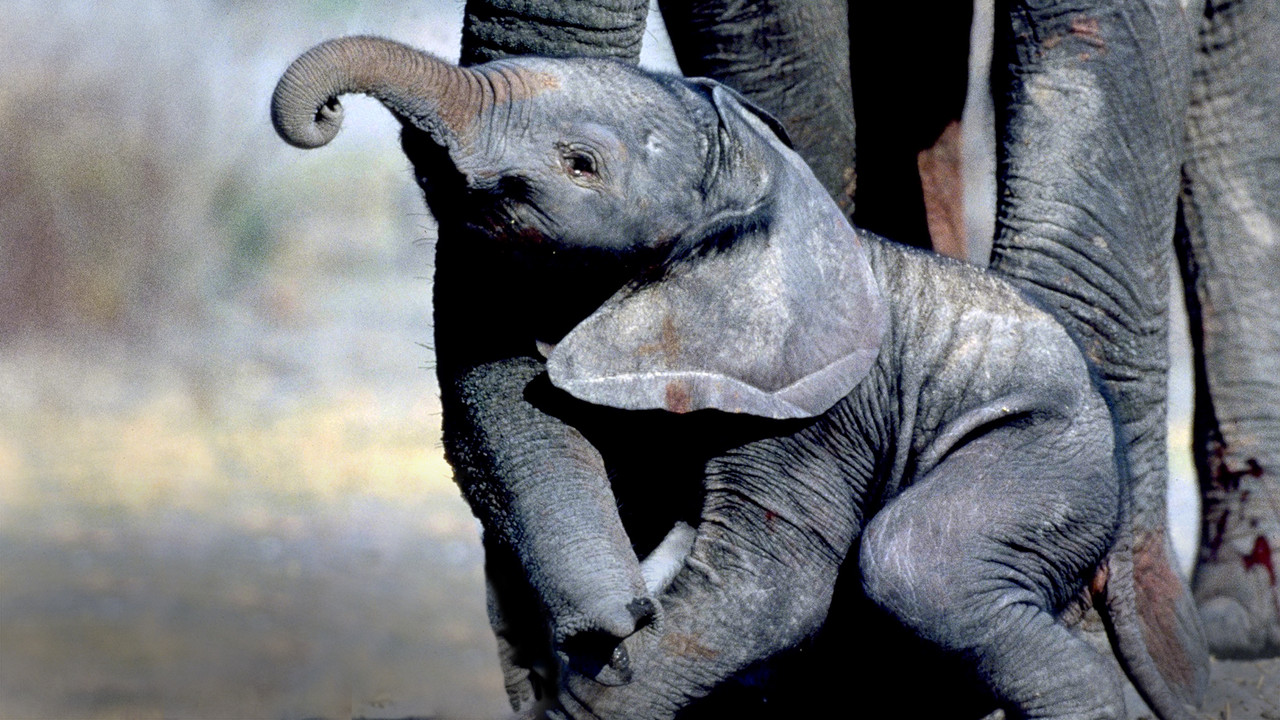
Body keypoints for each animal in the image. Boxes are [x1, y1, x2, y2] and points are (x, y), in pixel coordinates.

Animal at [271, 36, 1211, 718]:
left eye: (581, 164)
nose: (322, 116)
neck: (763, 182)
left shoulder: (818, 408)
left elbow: (766, 590)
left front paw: (607, 676)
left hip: (1049, 455)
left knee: (920, 563)